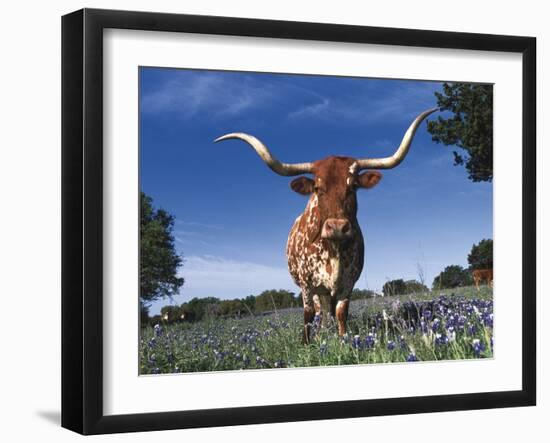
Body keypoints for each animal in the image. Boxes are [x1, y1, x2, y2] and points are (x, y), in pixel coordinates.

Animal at [217, 107, 440, 344]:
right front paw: (307, 343)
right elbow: (308, 314)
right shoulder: (307, 285)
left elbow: (341, 312)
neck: (333, 251)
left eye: (353, 186)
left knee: (329, 311)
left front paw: (343, 340)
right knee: (319, 311)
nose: (337, 227)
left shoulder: (348, 282)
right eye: (317, 187)